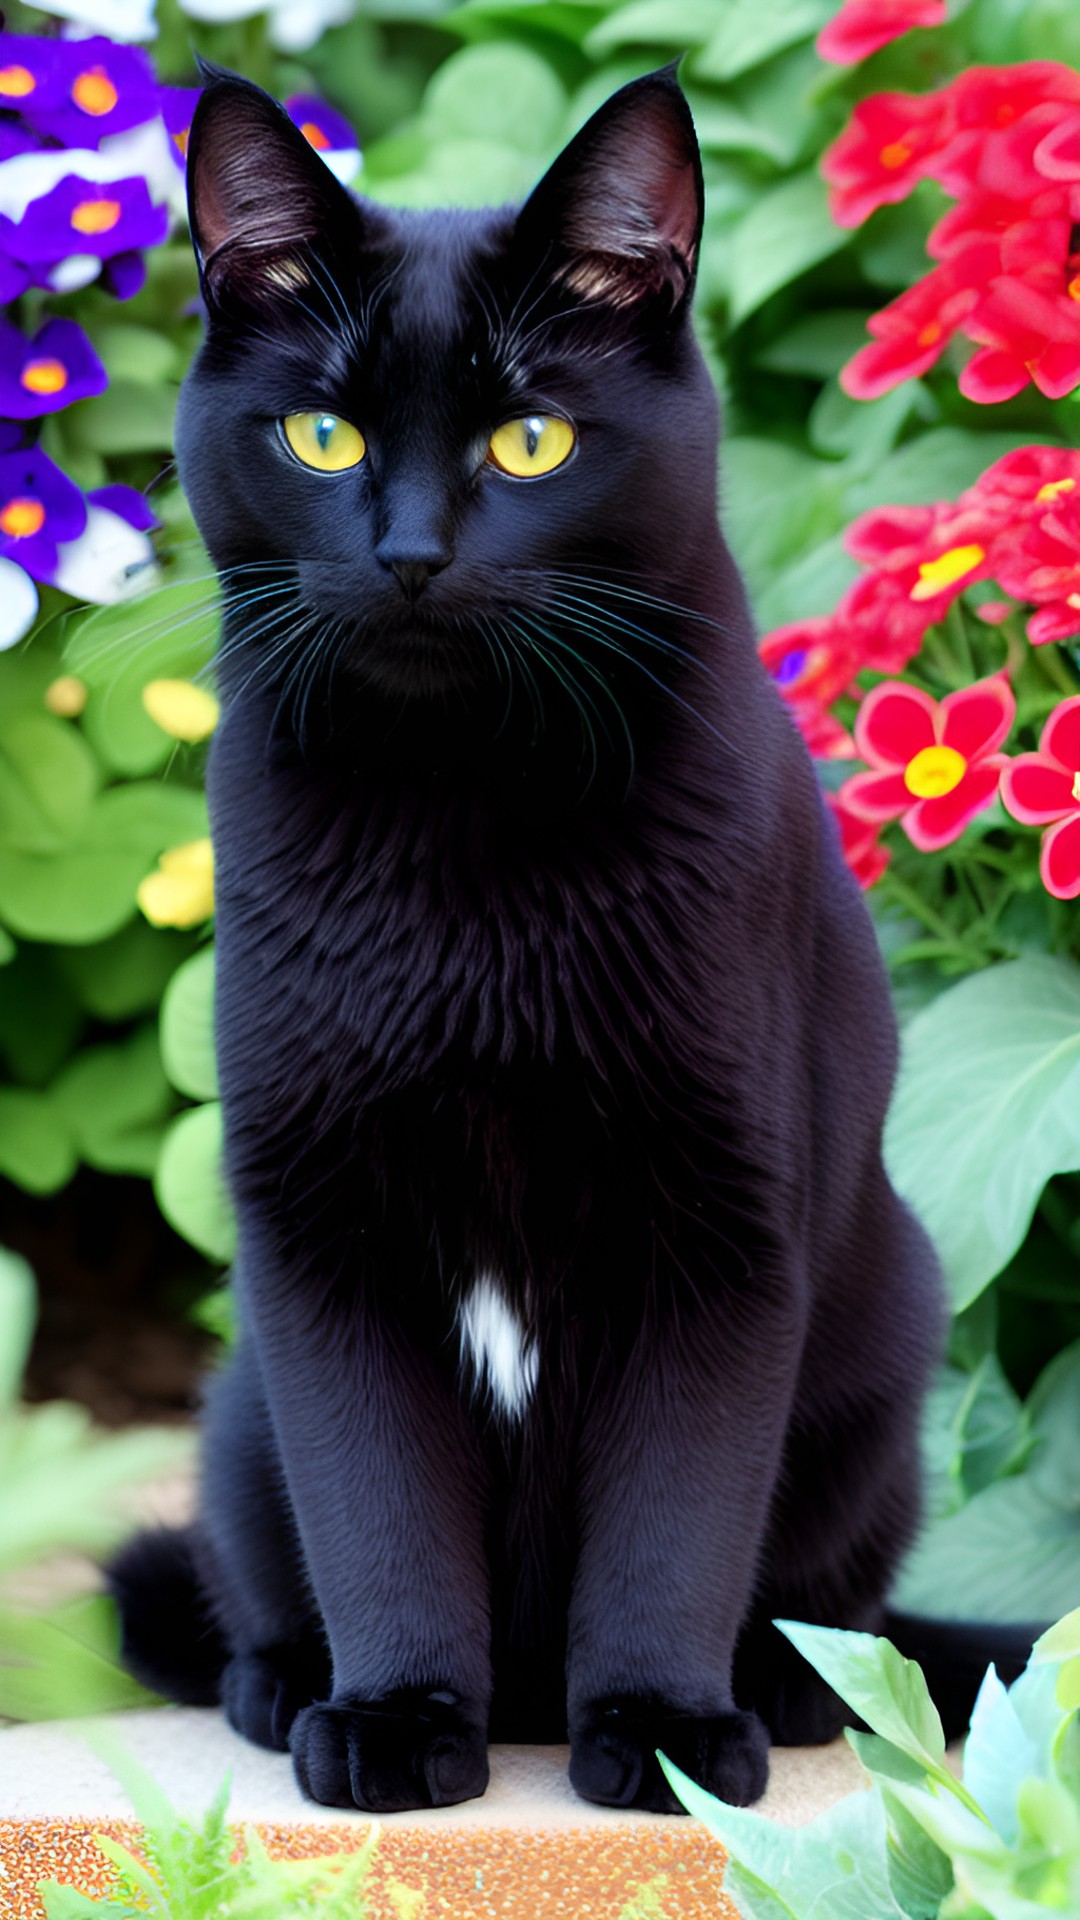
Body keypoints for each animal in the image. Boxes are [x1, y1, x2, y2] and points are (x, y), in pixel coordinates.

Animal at [105, 63, 937, 1812]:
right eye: (324, 432)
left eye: (532, 437)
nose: (411, 554)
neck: (461, 828)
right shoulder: (322, 1231)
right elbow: (378, 1513)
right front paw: (396, 1722)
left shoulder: (722, 1232)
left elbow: (677, 1522)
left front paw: (672, 1735)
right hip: (236, 1414)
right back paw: (285, 1687)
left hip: (886, 1363)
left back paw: (780, 1691)